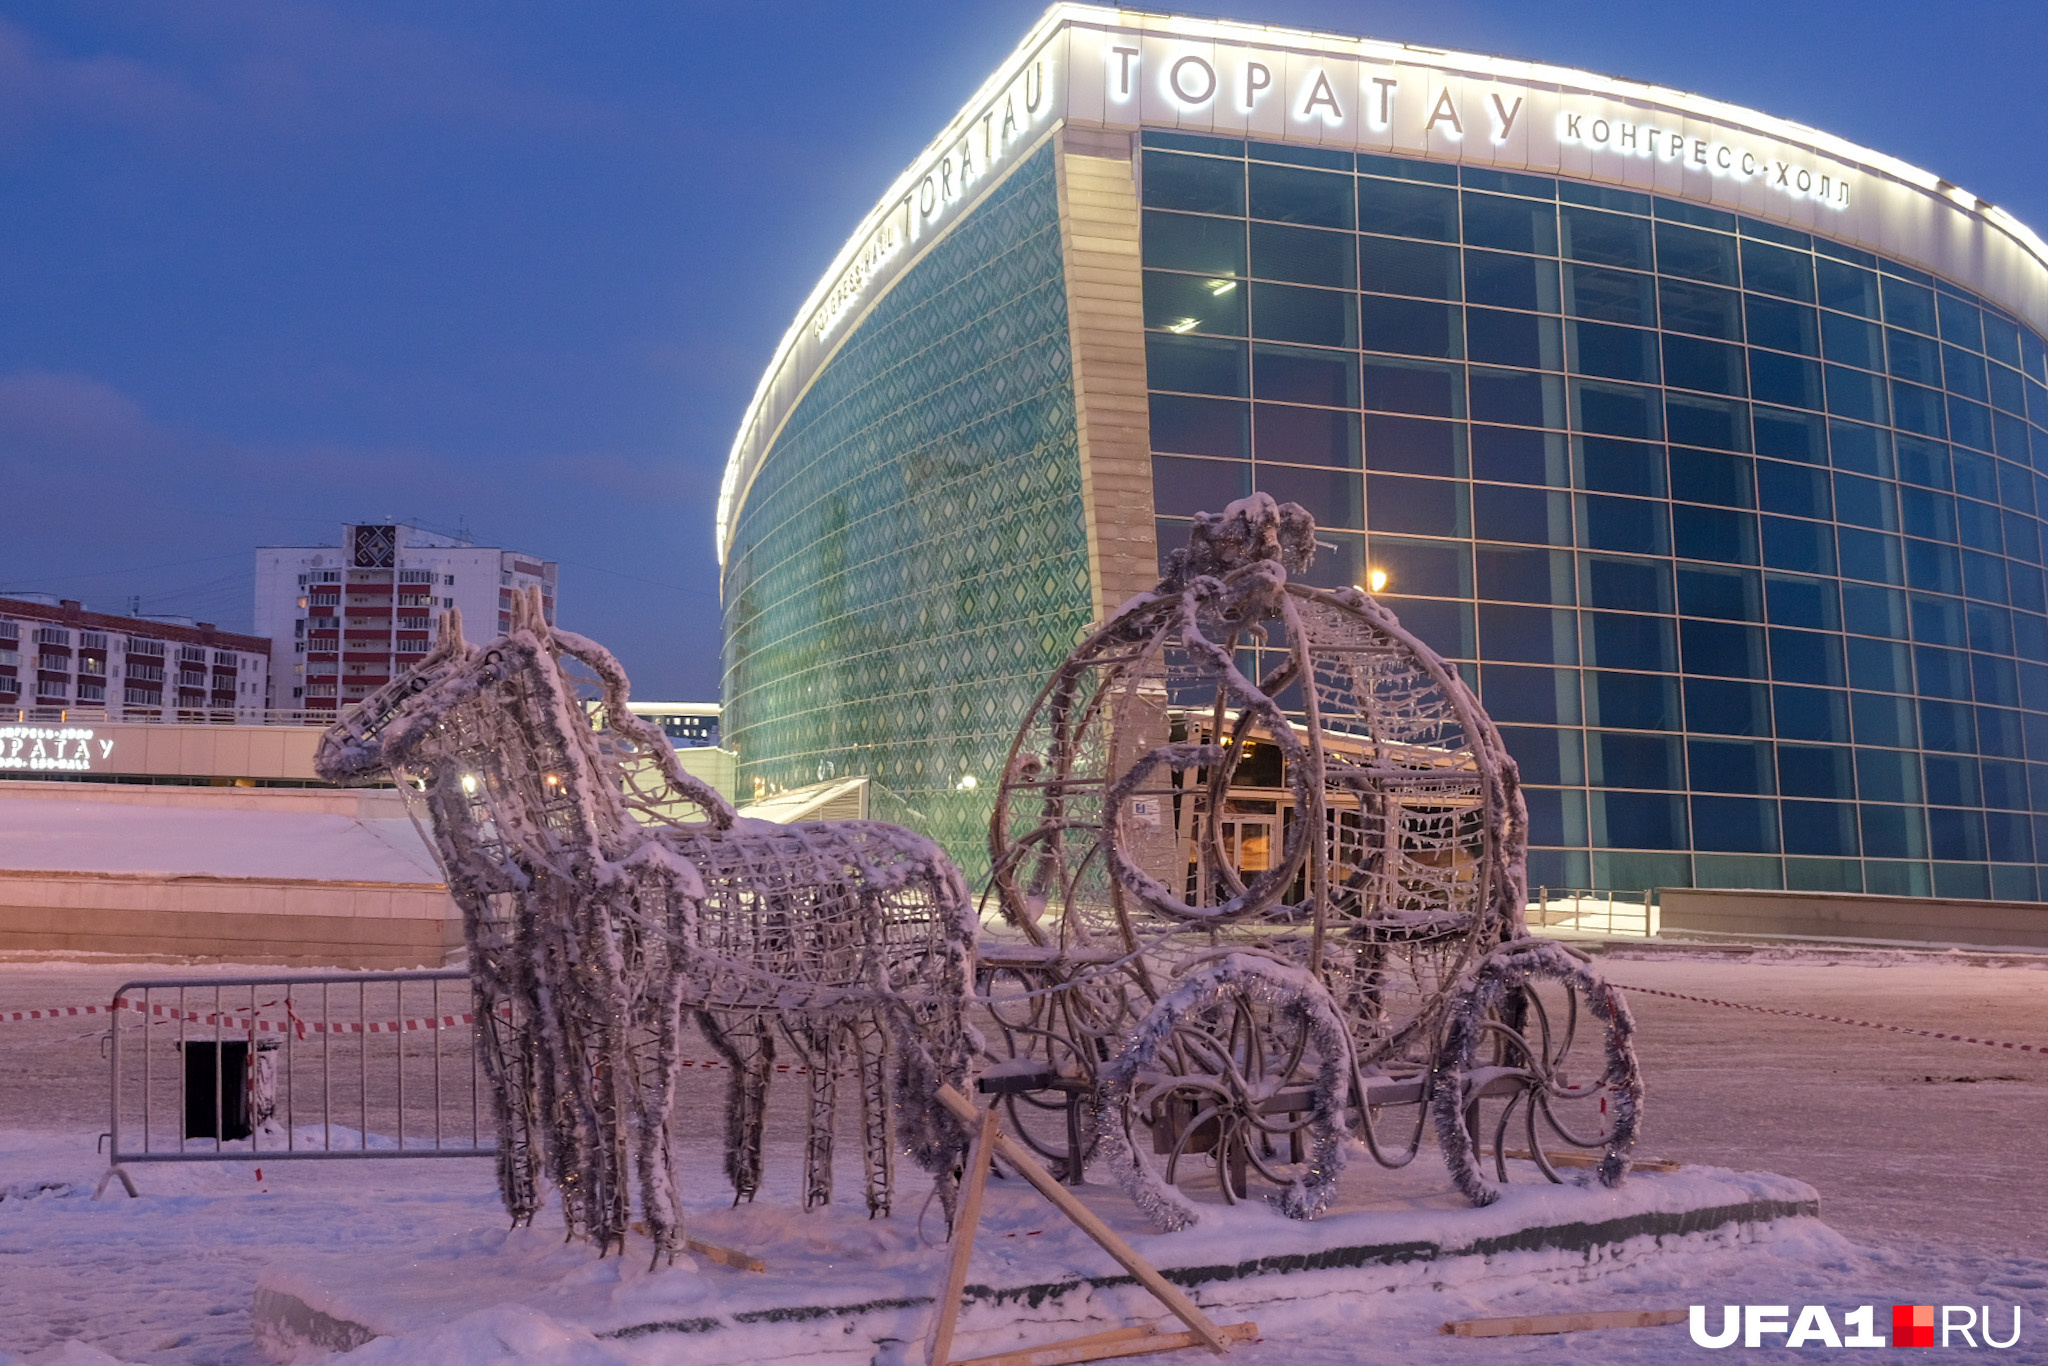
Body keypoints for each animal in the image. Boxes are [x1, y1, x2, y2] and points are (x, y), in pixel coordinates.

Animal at [317, 598, 974, 1261]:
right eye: (412, 675)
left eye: (441, 679)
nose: (330, 747)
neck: (587, 863)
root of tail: (939, 859)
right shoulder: (538, 1005)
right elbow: (556, 1109)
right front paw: (568, 1235)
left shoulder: (630, 1003)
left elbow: (640, 1110)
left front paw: (649, 1247)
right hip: (822, 1003)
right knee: (842, 1068)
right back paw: (840, 1210)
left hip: (925, 994)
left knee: (951, 1082)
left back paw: (942, 1225)